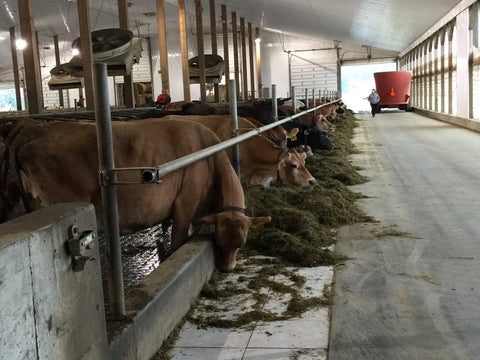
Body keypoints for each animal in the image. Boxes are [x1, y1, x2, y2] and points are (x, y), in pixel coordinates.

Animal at [4, 117, 270, 270]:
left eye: (241, 243)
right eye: (219, 241)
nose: (227, 269)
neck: (210, 158)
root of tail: (37, 129)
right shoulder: (184, 206)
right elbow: (177, 243)